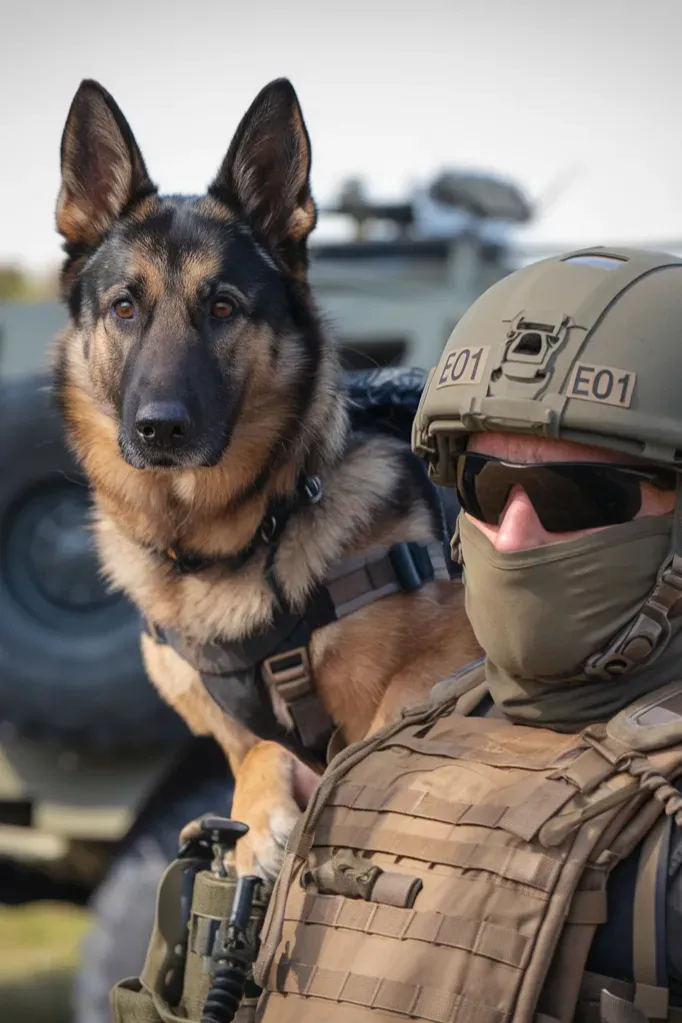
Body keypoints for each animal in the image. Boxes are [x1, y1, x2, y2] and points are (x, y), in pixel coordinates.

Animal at [54, 75, 480, 883]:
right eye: (124, 307)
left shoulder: (457, 655)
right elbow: (255, 753)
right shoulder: (227, 730)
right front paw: (256, 818)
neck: (233, 543)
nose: (159, 430)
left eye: (222, 306)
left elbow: (385, 725)